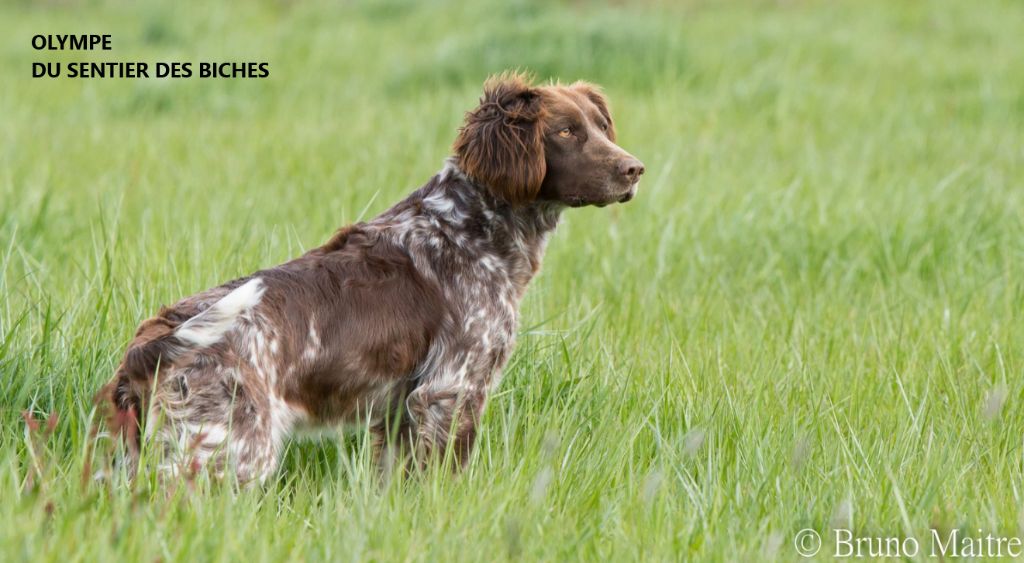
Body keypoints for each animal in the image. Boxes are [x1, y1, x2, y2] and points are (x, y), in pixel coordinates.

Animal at [99, 71, 643, 485]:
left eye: (602, 126)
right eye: (566, 132)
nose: (634, 169)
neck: (471, 226)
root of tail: (153, 342)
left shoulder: (401, 408)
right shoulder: (451, 389)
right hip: (232, 449)